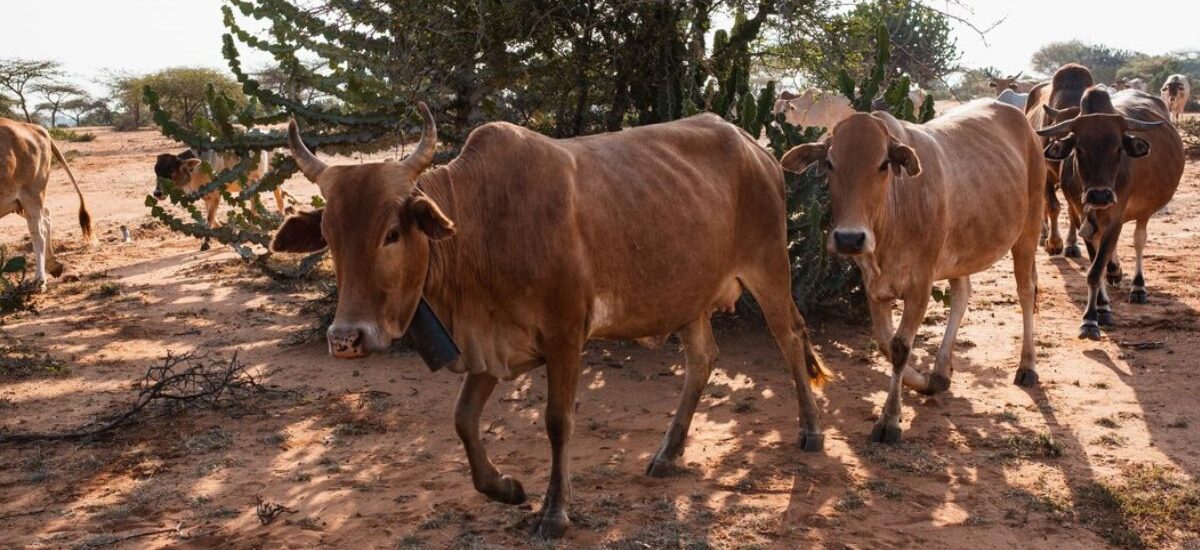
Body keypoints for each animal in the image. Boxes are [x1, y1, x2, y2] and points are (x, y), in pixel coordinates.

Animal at [0, 115, 92, 288]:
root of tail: (36, 128)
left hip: (31, 196)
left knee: (39, 233)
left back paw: (40, 279)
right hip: (17, 203)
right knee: (47, 217)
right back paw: (53, 265)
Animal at [270, 103, 835, 537]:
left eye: (391, 233)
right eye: (329, 236)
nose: (347, 338)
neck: (483, 223)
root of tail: (756, 148)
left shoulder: (565, 335)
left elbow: (557, 422)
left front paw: (554, 512)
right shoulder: (490, 344)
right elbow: (463, 420)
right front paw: (505, 488)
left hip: (769, 269)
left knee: (791, 339)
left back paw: (810, 432)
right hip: (687, 296)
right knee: (703, 358)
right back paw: (667, 453)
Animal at [777, 99, 1041, 441]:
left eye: (883, 164)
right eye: (831, 163)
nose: (849, 238)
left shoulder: (921, 285)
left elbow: (901, 347)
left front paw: (890, 419)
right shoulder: (873, 284)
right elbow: (885, 343)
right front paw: (926, 381)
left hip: (1028, 231)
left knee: (1025, 291)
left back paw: (1028, 366)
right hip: (961, 252)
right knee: (962, 294)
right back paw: (941, 370)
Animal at [1036, 88, 1185, 338]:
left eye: (1118, 148)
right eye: (1079, 148)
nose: (1100, 195)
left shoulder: (1115, 217)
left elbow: (1096, 268)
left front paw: (1090, 319)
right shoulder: (1081, 216)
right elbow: (1096, 263)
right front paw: (1101, 308)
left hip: (1143, 212)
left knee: (1139, 240)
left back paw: (1138, 287)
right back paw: (1115, 273)